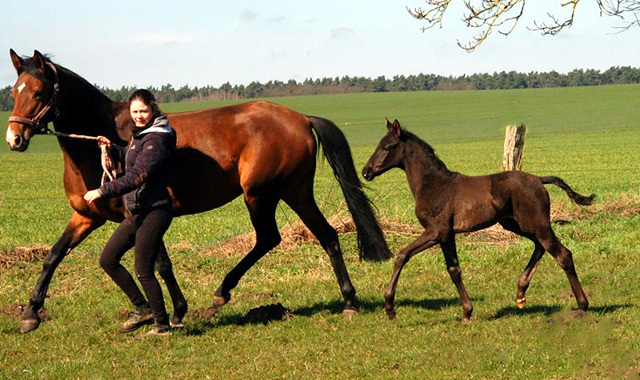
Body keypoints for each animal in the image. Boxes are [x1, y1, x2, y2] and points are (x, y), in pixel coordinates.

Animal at [7, 49, 392, 332]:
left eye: (39, 92)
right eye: (14, 92)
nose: (14, 138)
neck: (106, 138)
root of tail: (300, 117)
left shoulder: (140, 213)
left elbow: (158, 263)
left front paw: (173, 312)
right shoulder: (86, 216)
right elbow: (54, 255)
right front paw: (30, 314)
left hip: (262, 194)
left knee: (270, 237)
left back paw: (224, 291)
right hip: (295, 191)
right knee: (325, 235)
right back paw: (349, 300)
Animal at [362, 119, 592, 320]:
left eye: (388, 146)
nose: (366, 171)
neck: (433, 185)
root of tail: (539, 179)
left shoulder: (437, 232)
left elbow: (405, 256)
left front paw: (390, 307)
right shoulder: (445, 235)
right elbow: (450, 269)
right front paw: (466, 312)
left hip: (536, 224)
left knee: (562, 254)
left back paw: (582, 304)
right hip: (515, 224)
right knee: (540, 247)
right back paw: (520, 294)